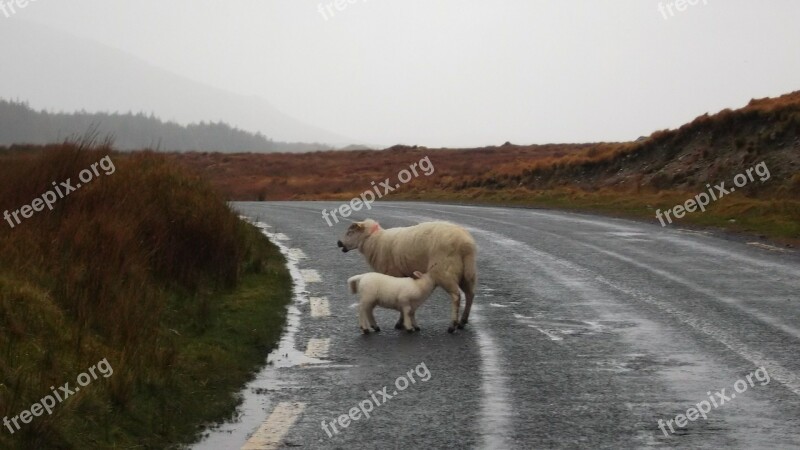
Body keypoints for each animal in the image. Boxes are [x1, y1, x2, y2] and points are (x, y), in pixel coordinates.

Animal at [338, 220, 476, 332]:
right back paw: (462, 322)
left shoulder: (394, 274)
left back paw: (453, 325)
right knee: (470, 295)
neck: (376, 241)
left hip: (444, 271)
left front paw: (401, 323)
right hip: (467, 274)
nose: (339, 243)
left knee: (456, 296)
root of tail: (466, 244)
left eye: (350, 232)